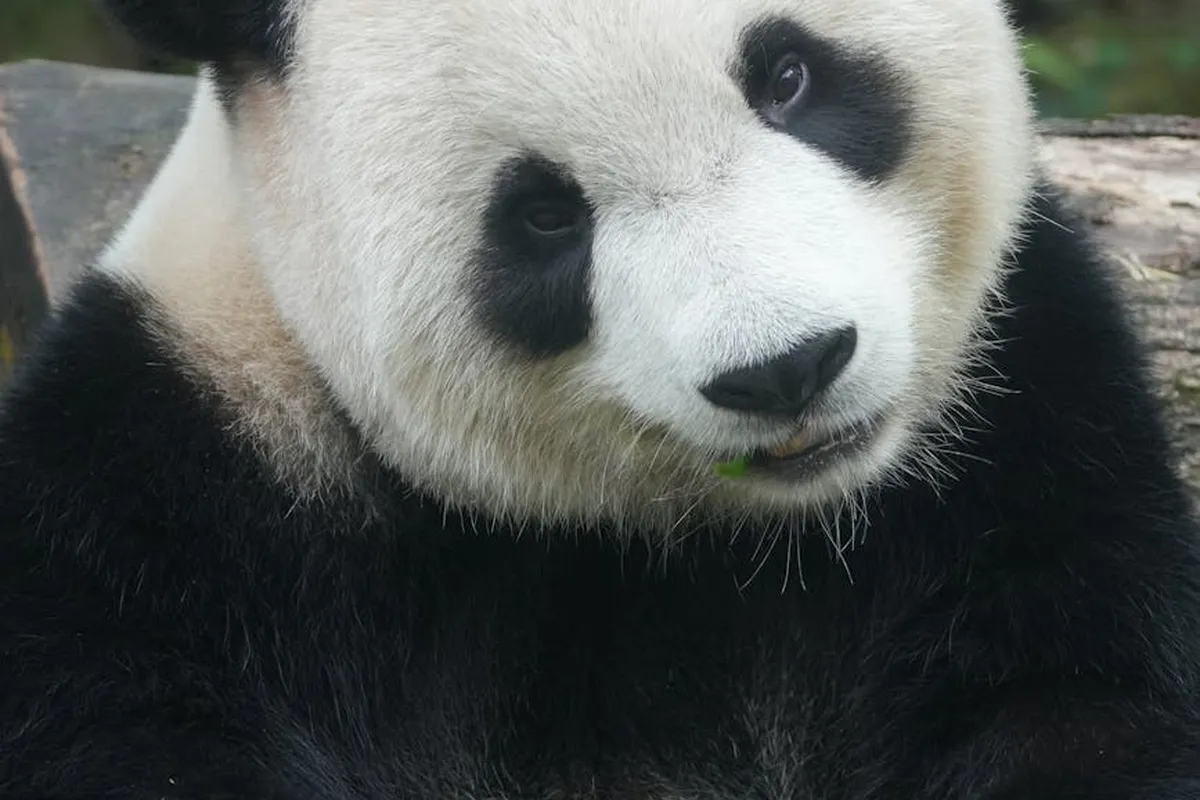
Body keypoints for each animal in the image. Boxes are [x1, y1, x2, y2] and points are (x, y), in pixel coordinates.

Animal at [2, 0, 1200, 796]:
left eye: (789, 76)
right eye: (542, 213)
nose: (788, 367)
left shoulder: (1024, 427)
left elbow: (1073, 699)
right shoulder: (170, 504)